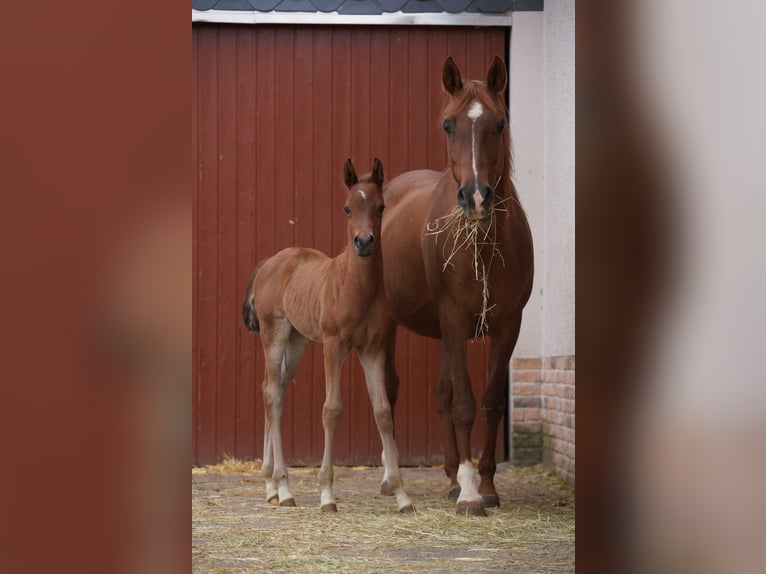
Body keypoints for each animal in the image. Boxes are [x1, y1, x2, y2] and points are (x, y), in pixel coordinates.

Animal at [242, 158, 414, 514]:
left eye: (381, 206)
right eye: (347, 207)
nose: (364, 242)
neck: (356, 287)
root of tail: (270, 262)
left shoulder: (372, 349)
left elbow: (383, 412)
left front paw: (402, 495)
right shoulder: (334, 346)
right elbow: (331, 410)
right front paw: (326, 494)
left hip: (298, 342)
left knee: (275, 391)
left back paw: (271, 486)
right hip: (275, 335)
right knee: (271, 393)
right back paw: (284, 488)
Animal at [380, 57, 534, 516]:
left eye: (500, 123)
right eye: (448, 125)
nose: (476, 197)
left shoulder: (506, 326)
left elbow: (489, 401)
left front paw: (486, 485)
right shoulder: (454, 320)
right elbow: (464, 403)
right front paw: (469, 493)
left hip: (443, 334)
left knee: (441, 393)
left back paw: (449, 475)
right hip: (392, 324)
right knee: (390, 390)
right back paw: (392, 478)